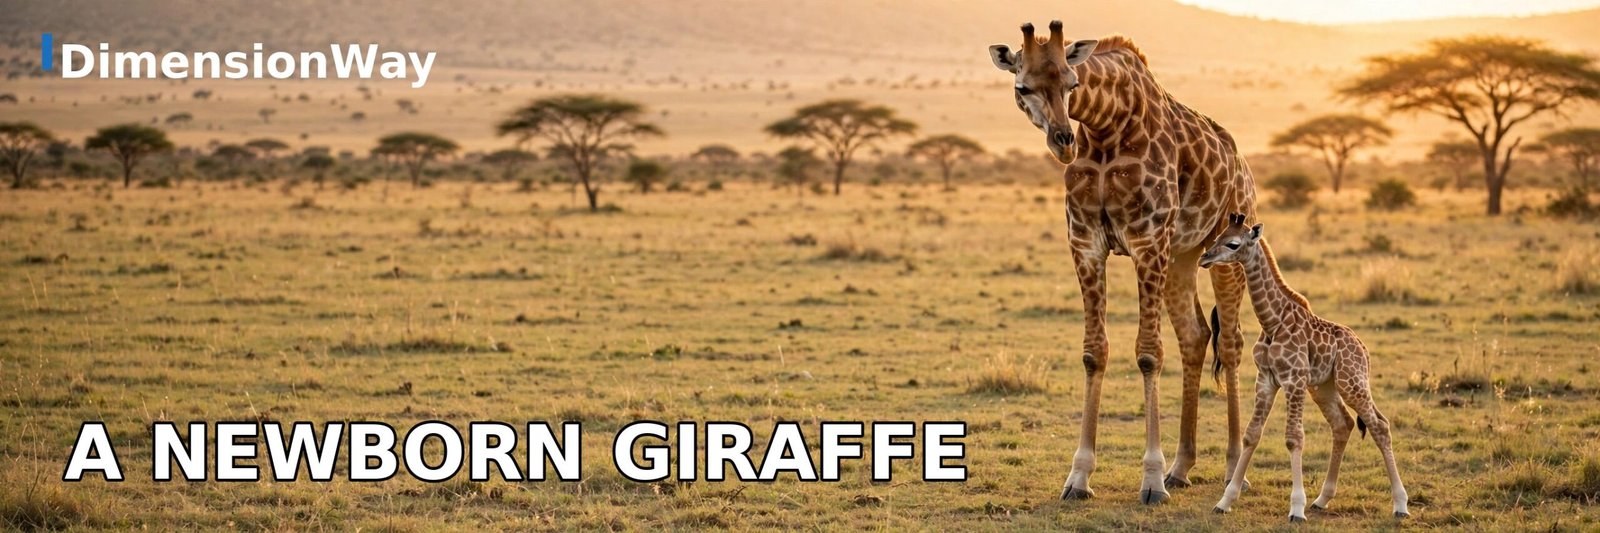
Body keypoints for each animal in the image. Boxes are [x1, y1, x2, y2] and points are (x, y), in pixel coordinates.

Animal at [988, 22, 1258, 504]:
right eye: (1023, 87)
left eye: (1072, 83)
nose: (1063, 141)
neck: (1105, 127)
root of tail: (1243, 166)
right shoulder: (1086, 243)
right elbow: (1094, 353)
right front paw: (1078, 477)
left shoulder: (1147, 240)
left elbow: (1149, 354)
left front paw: (1150, 481)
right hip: (1184, 256)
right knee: (1195, 335)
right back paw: (1181, 467)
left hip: (1227, 250)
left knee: (1231, 342)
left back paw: (1233, 472)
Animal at [1200, 214, 1409, 521]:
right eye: (1216, 237)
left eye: (1233, 243)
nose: (1205, 257)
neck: (1272, 321)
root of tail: (1364, 349)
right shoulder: (1266, 380)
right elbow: (1251, 435)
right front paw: (1225, 501)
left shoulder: (1294, 380)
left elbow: (1294, 438)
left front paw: (1296, 507)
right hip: (1324, 387)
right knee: (1343, 424)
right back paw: (1322, 499)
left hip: (1351, 382)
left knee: (1379, 426)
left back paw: (1401, 504)